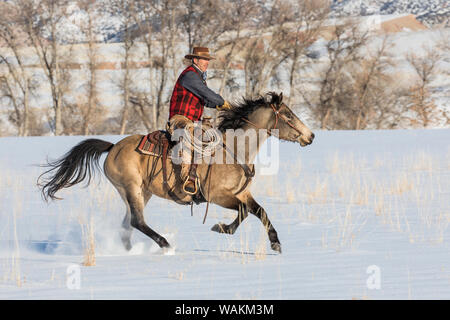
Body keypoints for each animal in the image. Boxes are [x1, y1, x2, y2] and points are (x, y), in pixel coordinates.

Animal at [37, 92, 312, 252]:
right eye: (288, 115)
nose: (310, 136)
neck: (234, 150)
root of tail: (113, 147)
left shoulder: (241, 193)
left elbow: (258, 211)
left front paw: (274, 242)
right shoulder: (217, 196)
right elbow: (246, 212)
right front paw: (221, 228)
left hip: (141, 192)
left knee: (128, 224)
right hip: (131, 189)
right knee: (137, 221)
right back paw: (165, 244)